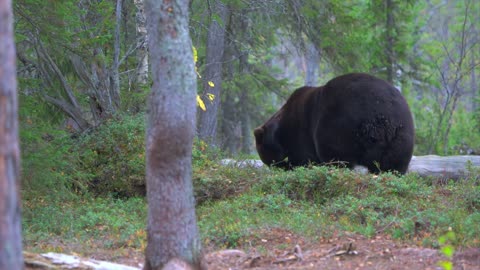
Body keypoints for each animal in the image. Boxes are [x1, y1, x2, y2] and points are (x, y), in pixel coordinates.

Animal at [253, 73, 414, 174]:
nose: (278, 167)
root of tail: (380, 116)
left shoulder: (299, 133)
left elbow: (305, 158)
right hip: (401, 133)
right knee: (393, 164)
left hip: (337, 125)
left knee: (336, 156)